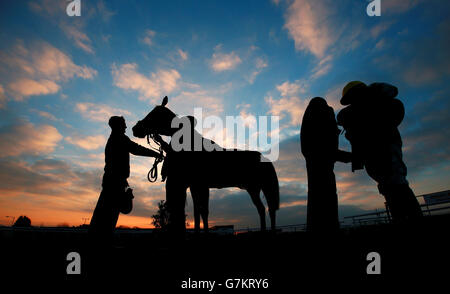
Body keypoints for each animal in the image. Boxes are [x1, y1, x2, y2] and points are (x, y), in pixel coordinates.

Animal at [132, 97, 280, 233]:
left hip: (257, 188)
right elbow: (197, 212)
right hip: (254, 189)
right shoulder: (194, 186)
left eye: (154, 114)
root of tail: (265, 159)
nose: (135, 129)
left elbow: (203, 211)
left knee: (269, 209)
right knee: (262, 209)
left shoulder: (201, 186)